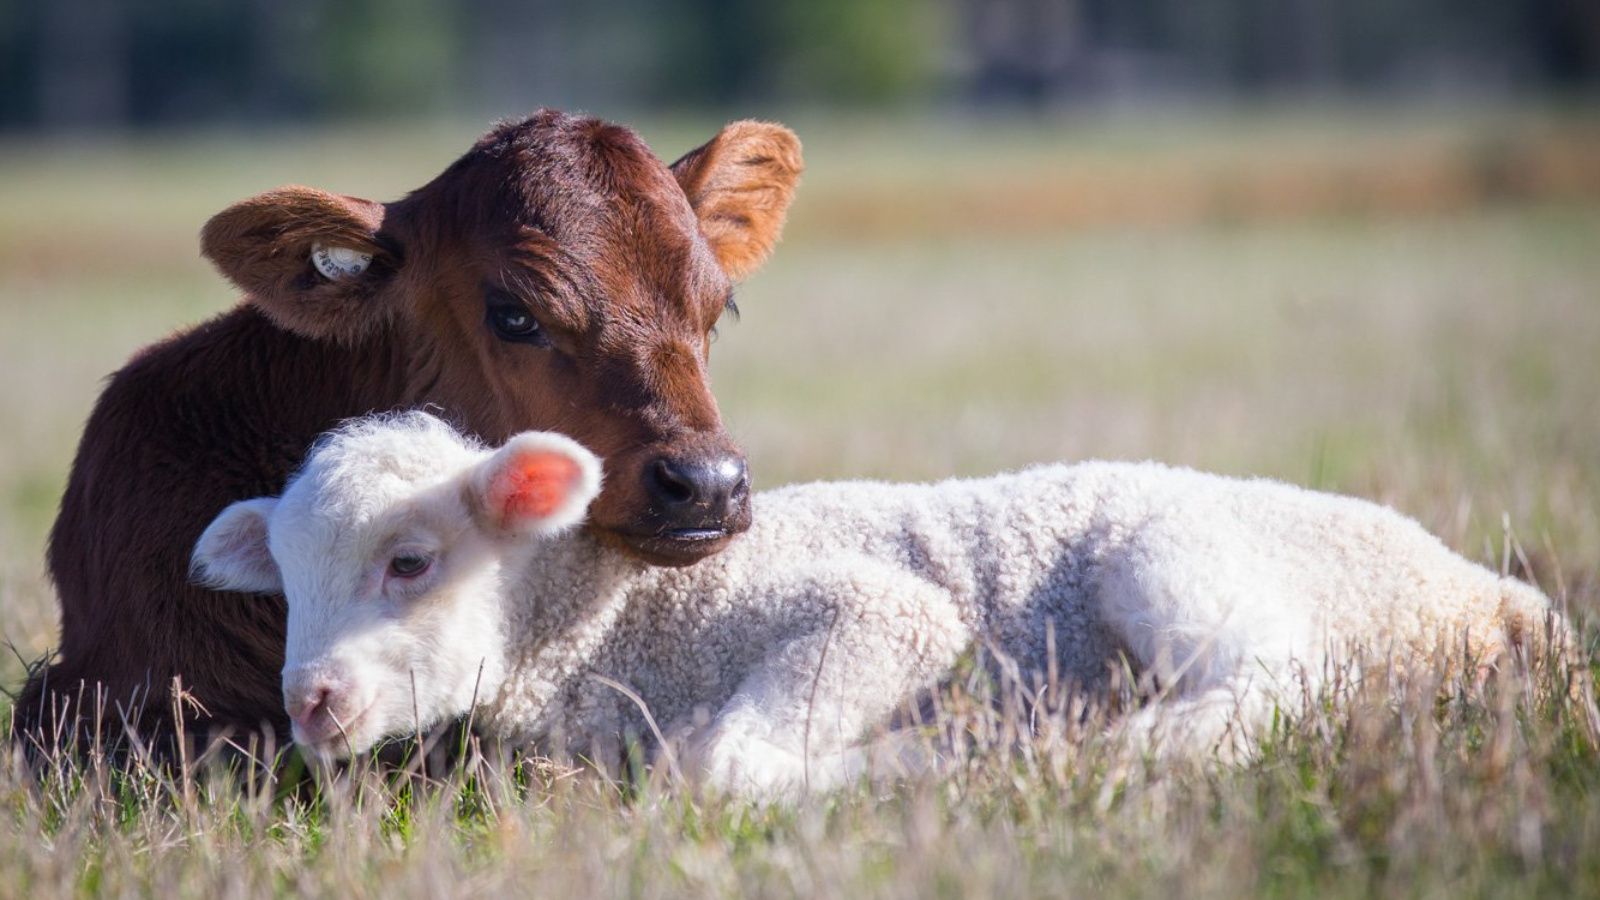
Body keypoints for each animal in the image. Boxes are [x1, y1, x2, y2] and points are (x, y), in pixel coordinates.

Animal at [193, 409, 1555, 794]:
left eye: (409, 564)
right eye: (287, 584)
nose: (312, 703)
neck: (611, 616)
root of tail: (1485, 600)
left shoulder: (880, 613)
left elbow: (721, 765)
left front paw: (895, 764)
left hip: (1181, 555)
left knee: (1268, 689)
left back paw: (1050, 750)